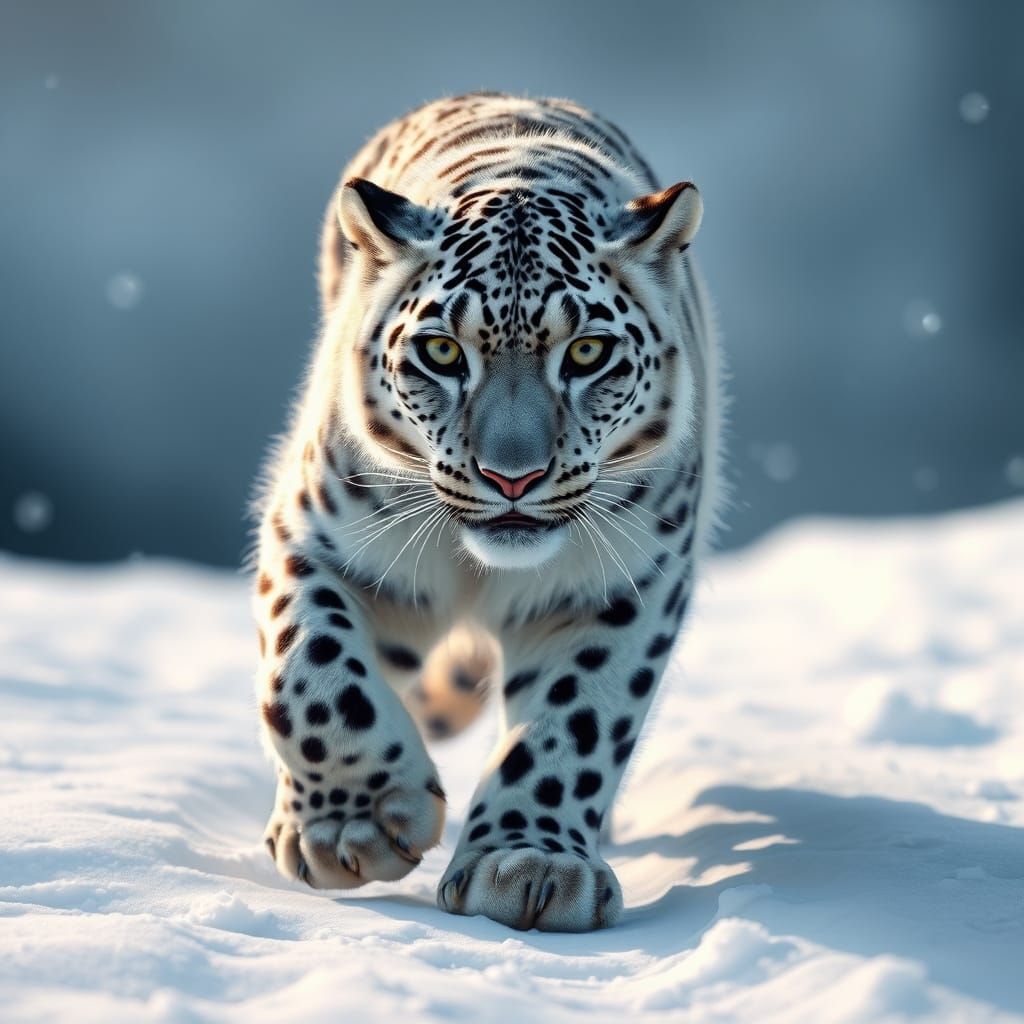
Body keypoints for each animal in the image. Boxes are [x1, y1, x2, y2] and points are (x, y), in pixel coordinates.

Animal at [252, 92, 724, 932]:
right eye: (442, 352)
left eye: (587, 352)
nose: (512, 476)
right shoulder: (315, 536)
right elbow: (309, 673)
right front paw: (353, 828)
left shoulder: (627, 580)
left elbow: (577, 718)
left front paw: (530, 863)